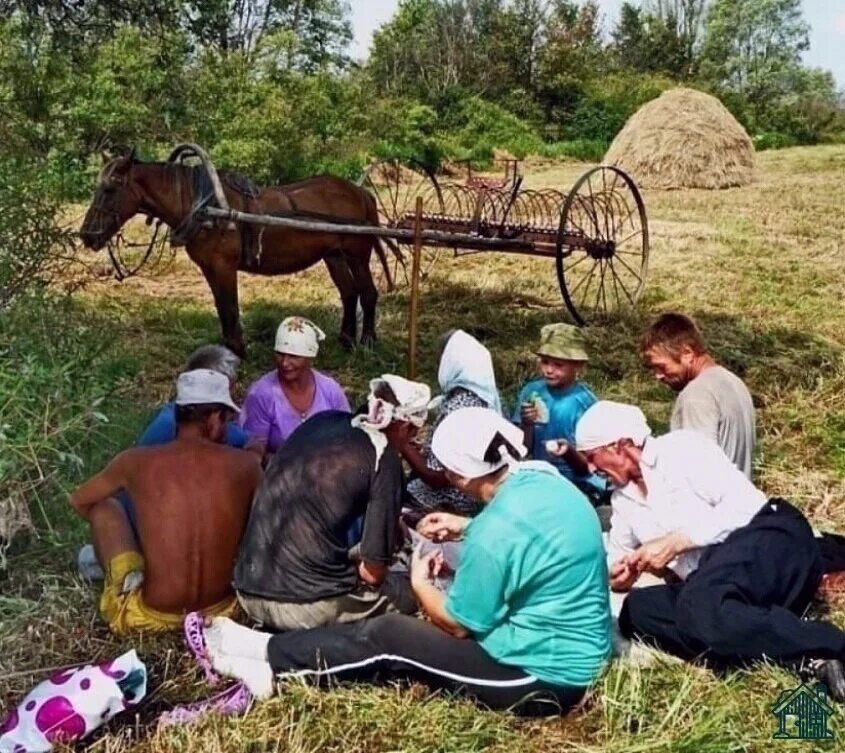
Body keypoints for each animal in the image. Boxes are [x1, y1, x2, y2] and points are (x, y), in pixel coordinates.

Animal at [79, 151, 392, 358]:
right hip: (334, 256)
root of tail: (361, 192)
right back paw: (346, 340)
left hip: (357, 255)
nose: (87, 236)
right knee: (349, 293)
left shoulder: (224, 267)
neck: (204, 207)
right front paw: (228, 348)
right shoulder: (209, 268)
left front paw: (238, 351)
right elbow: (221, 307)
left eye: (110, 188)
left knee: (368, 293)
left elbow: (230, 308)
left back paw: (367, 342)